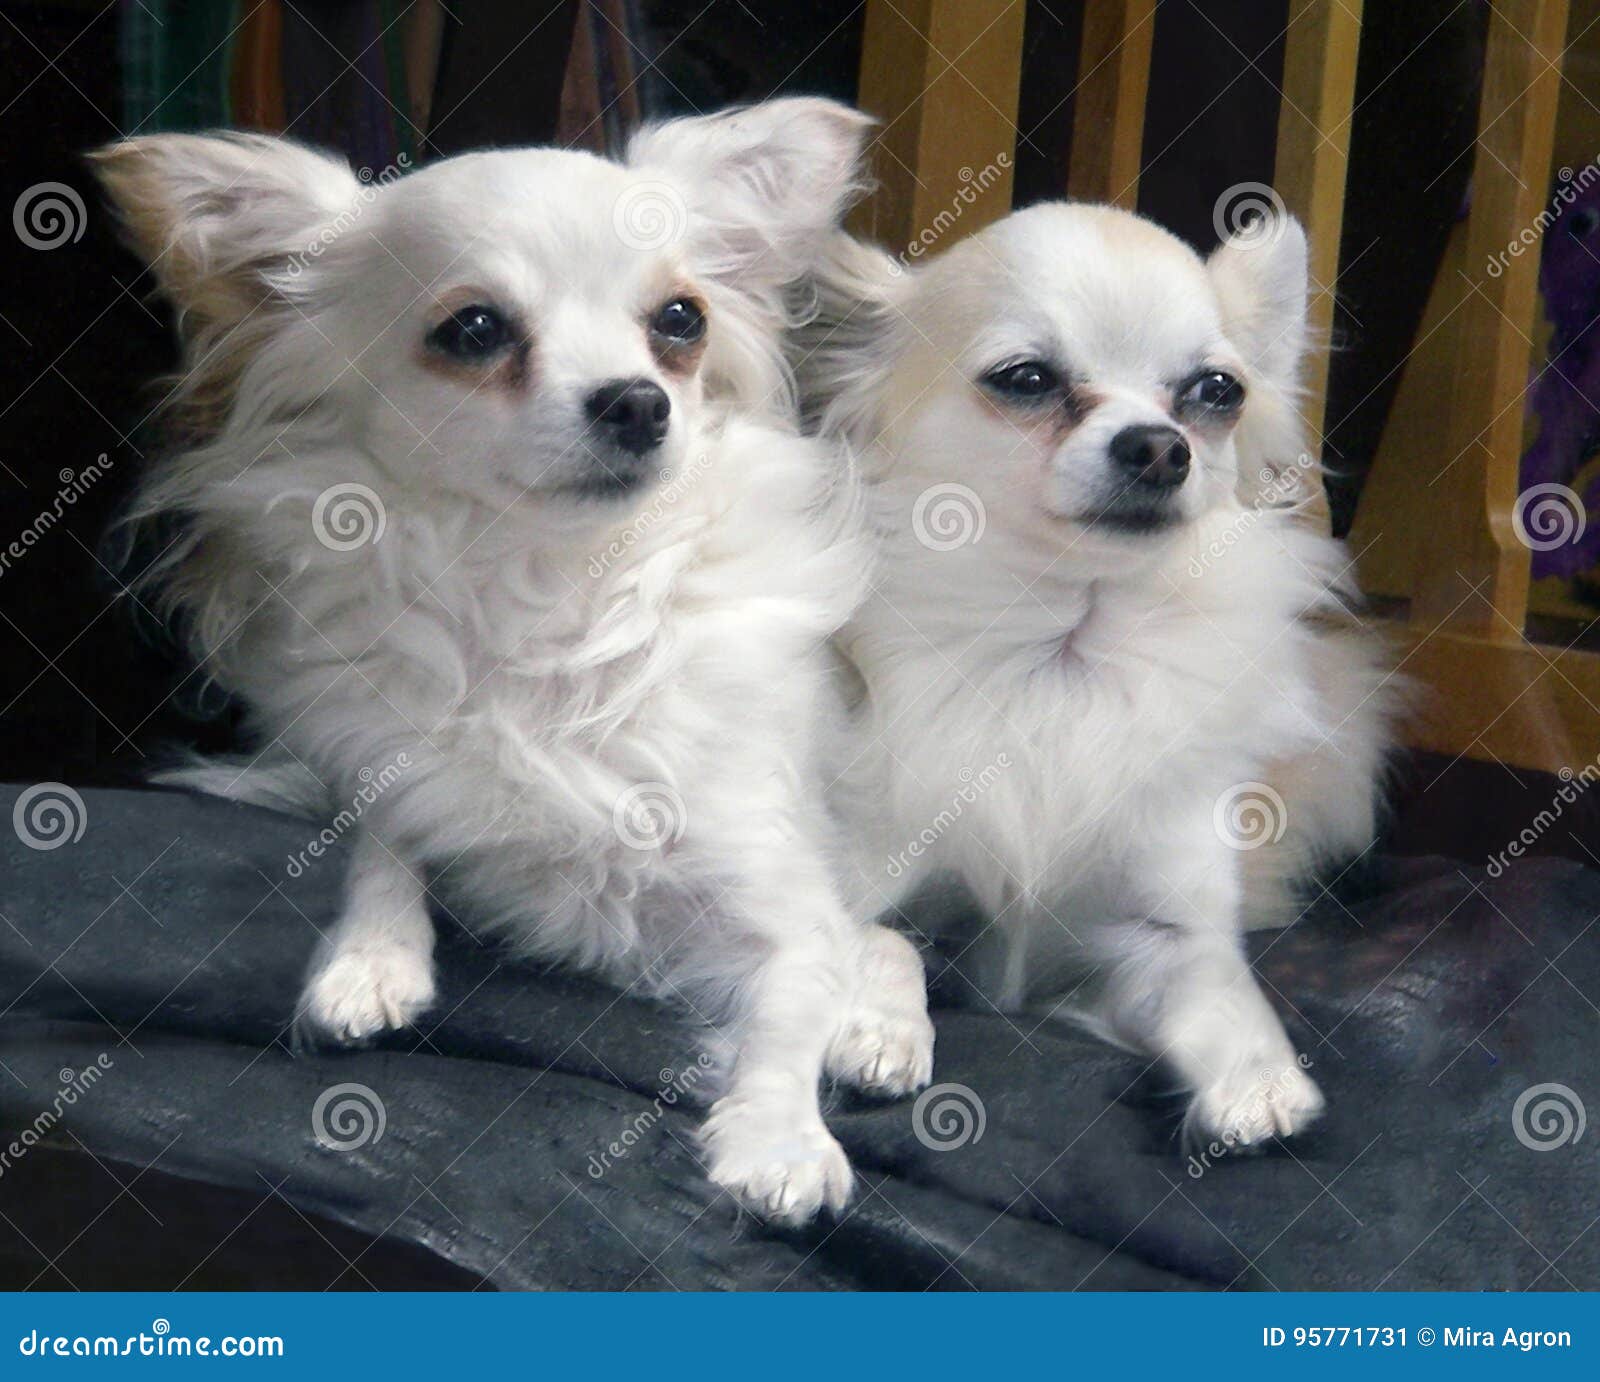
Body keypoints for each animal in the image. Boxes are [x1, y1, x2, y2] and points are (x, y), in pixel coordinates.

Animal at [93, 97, 934, 1222]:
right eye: (476, 329)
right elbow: (383, 843)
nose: (638, 400)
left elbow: (797, 985)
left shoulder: (776, 884)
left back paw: (881, 1030)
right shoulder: (397, 776)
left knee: (881, 939)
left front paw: (782, 1137)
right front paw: (370, 957)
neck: (556, 590)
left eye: (681, 321)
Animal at [806, 196, 1395, 1145]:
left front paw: (1260, 1076)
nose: (1158, 446)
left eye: (1218, 392)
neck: (1063, 658)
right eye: (1025, 378)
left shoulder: (1154, 932)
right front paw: (878, 1027)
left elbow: (1215, 980)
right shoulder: (867, 886)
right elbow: (883, 939)